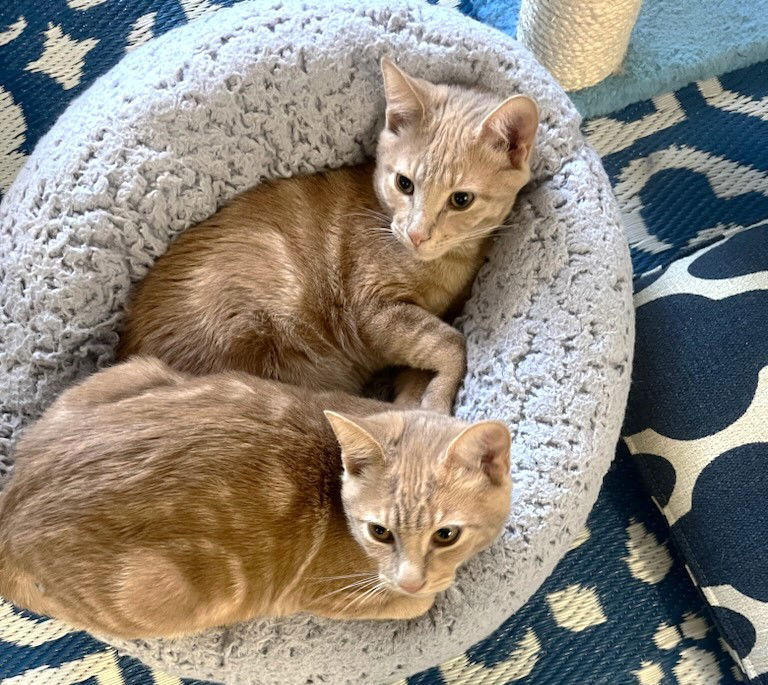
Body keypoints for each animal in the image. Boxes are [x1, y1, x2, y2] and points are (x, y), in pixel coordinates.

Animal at [1, 356, 516, 640]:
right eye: (379, 532)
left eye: (446, 535)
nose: (410, 579)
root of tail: (11, 515)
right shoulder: (328, 594)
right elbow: (416, 603)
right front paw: (426, 591)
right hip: (153, 588)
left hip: (133, 372)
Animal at [118, 60, 540, 412]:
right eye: (404, 184)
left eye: (461, 199)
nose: (416, 233)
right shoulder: (374, 311)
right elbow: (452, 344)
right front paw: (436, 403)